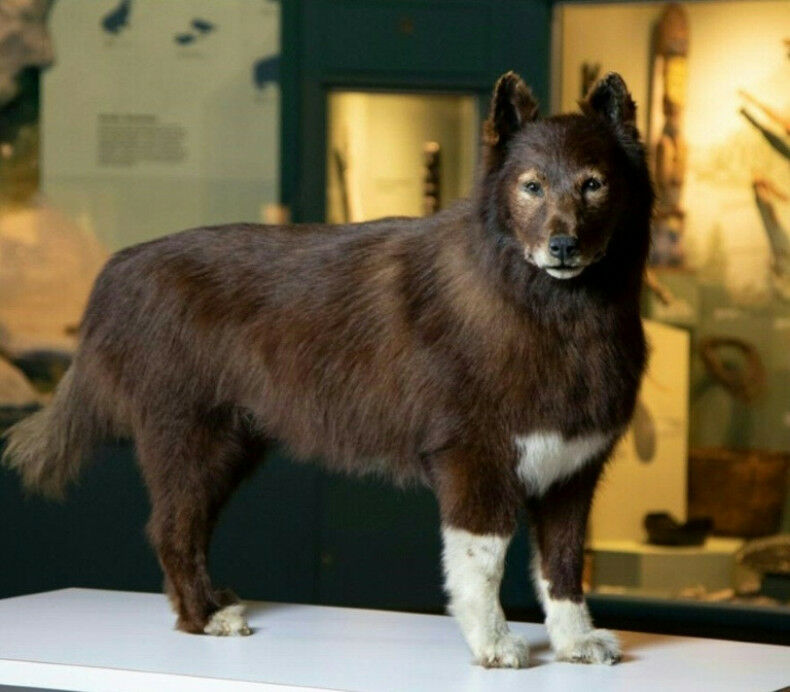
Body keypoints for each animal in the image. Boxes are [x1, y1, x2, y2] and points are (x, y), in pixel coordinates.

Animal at [3, 71, 652, 672]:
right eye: (531, 186)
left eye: (594, 184)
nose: (562, 246)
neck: (552, 314)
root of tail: (118, 270)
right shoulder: (475, 461)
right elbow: (481, 566)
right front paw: (493, 645)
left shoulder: (572, 471)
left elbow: (562, 565)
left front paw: (574, 642)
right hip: (188, 442)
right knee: (170, 531)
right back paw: (205, 617)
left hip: (229, 448)